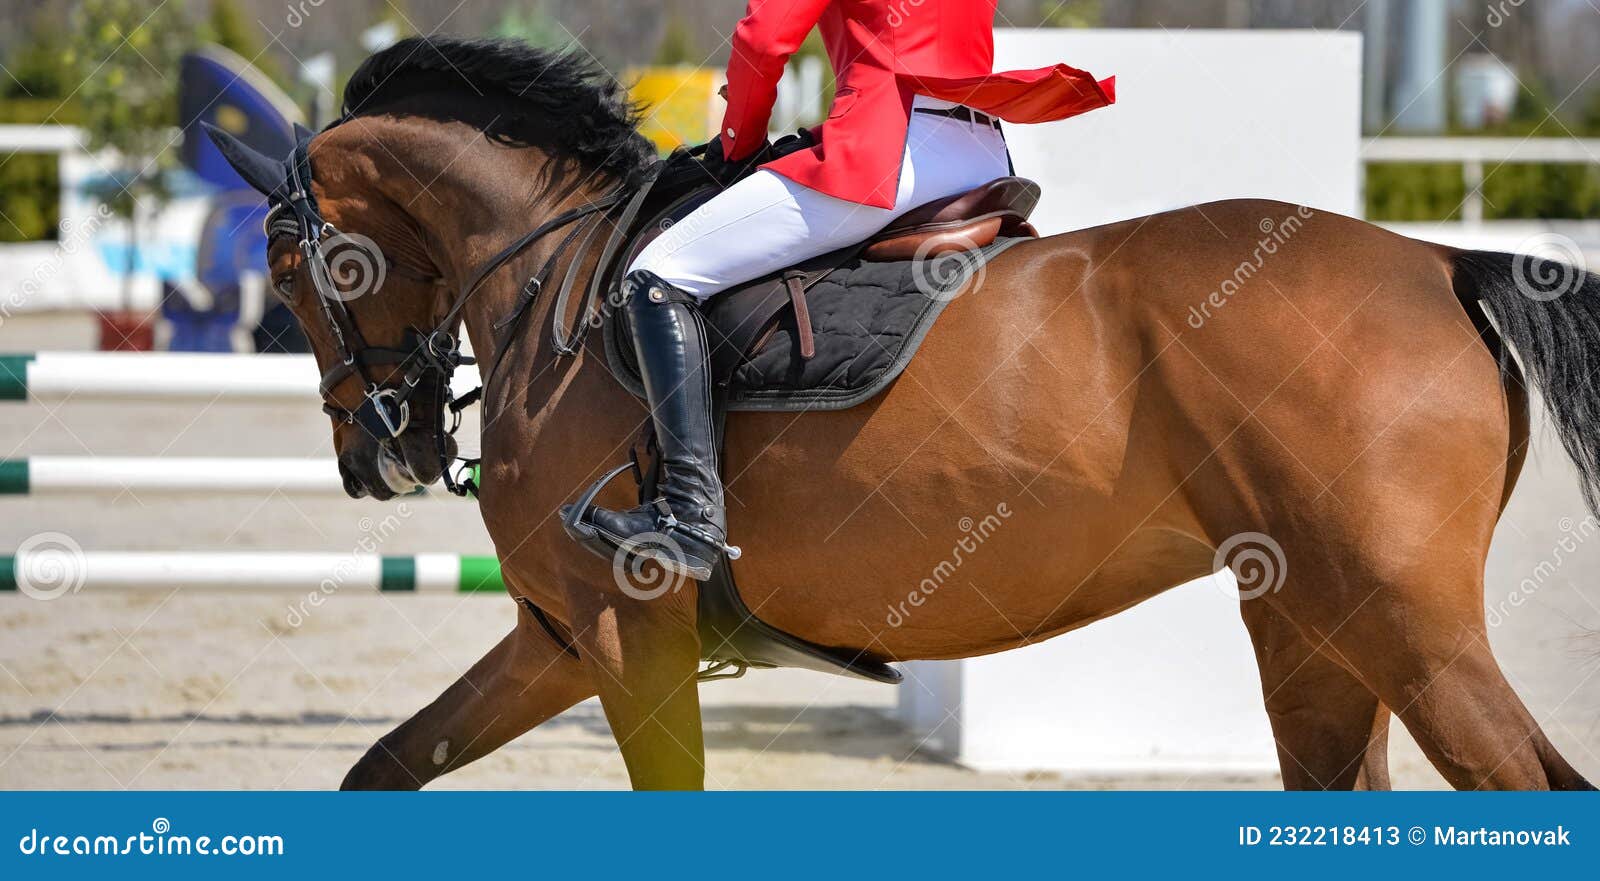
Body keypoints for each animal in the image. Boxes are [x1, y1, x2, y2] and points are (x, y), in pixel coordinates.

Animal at [219, 37, 1593, 789]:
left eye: (290, 268)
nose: (378, 454)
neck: (556, 281)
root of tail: (1437, 261)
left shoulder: (626, 630)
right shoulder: (562, 636)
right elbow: (384, 765)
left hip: (1405, 629)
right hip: (1312, 626)